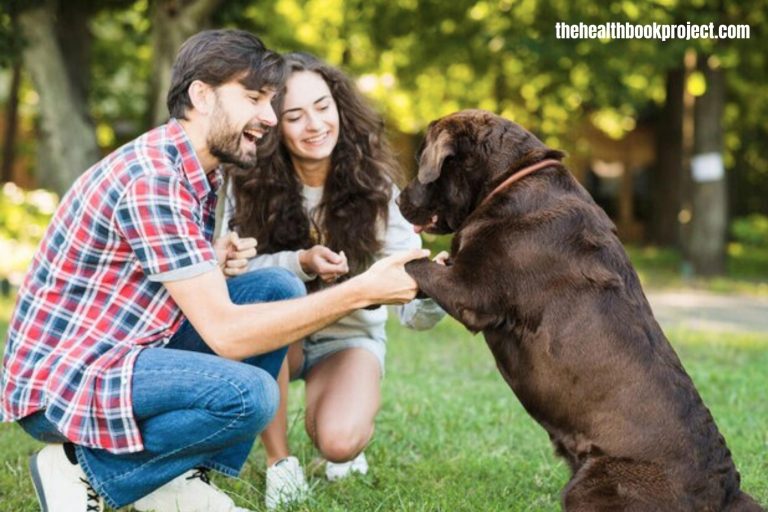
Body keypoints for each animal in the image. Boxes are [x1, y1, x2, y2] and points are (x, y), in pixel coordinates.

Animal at [400, 110, 760, 510]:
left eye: (420, 160)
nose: (399, 199)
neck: (510, 178)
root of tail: (726, 492)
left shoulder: (469, 288)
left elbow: (416, 265)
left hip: (590, 484)